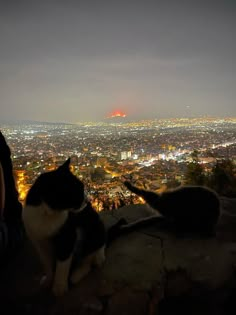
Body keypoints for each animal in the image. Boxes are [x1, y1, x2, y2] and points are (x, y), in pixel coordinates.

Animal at [22, 159, 106, 298]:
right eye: (78, 191)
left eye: (83, 187)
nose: (87, 201)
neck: (48, 214)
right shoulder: (39, 242)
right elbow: (47, 264)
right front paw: (49, 280)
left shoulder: (67, 238)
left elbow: (62, 265)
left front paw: (59, 287)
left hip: (93, 228)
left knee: (91, 257)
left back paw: (78, 273)